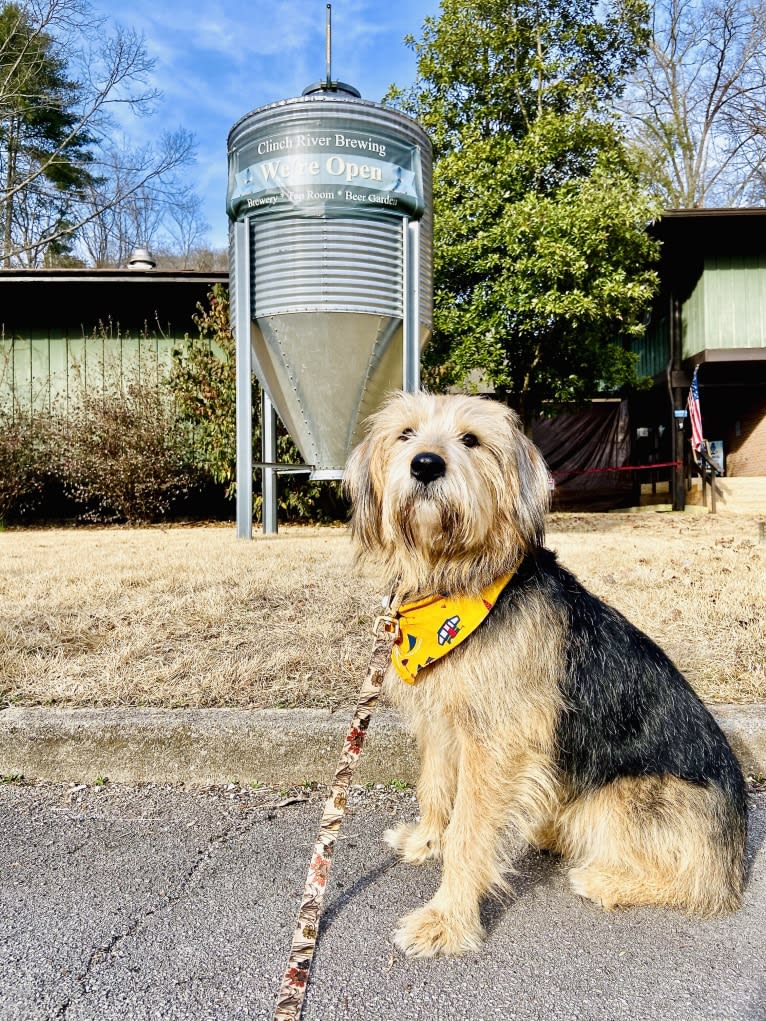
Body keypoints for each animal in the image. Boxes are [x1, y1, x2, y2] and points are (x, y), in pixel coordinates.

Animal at [343, 387, 751, 955]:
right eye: (405, 434)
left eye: (471, 439)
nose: (425, 464)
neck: (456, 579)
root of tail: (735, 849)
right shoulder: (445, 722)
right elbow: (435, 785)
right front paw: (426, 839)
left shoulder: (496, 742)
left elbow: (469, 831)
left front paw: (447, 918)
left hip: (621, 801)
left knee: (698, 884)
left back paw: (607, 878)